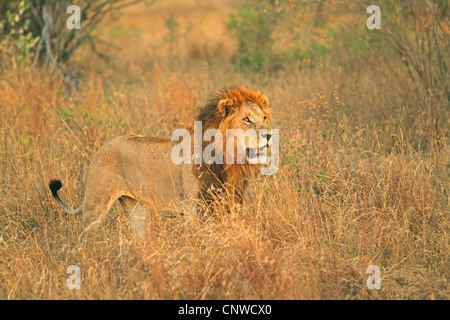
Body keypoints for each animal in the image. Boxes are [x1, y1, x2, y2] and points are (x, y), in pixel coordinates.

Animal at [49, 86, 274, 239]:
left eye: (264, 117)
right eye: (247, 120)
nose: (269, 135)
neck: (230, 159)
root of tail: (100, 148)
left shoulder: (230, 205)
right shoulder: (193, 210)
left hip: (137, 209)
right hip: (95, 204)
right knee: (85, 239)